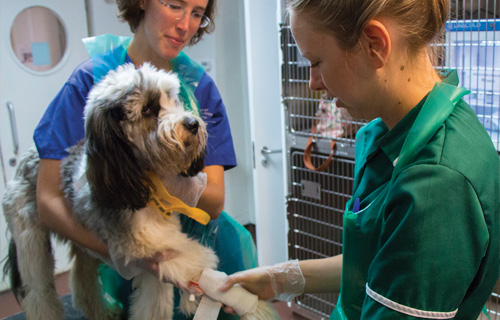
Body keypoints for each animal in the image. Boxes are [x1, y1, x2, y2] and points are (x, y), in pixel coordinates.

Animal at [1, 63, 280, 320]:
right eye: (147, 109)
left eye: (173, 99)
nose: (193, 123)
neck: (145, 180)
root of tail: (27, 158)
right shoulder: (146, 244)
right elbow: (196, 261)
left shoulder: (153, 268)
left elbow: (156, 304)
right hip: (30, 240)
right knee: (39, 292)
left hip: (80, 238)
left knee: (82, 277)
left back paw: (102, 311)